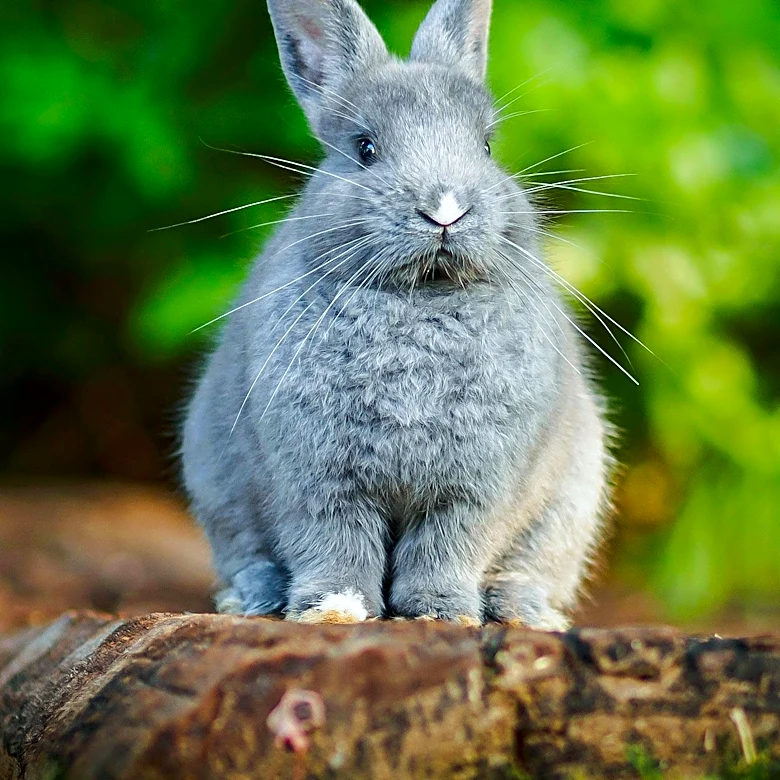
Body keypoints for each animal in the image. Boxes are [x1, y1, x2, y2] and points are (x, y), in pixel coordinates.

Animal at [181, 0, 612, 630]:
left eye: (487, 147)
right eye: (365, 149)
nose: (446, 210)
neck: (421, 299)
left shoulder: (473, 490)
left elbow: (447, 546)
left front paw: (440, 613)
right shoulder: (318, 482)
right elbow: (334, 544)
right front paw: (333, 611)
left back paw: (525, 612)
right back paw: (253, 598)